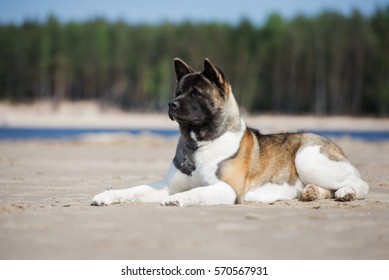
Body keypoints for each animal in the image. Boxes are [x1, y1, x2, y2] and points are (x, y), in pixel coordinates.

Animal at [92, 58, 368, 207]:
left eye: (195, 93)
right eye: (178, 92)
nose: (171, 104)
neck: (200, 143)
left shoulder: (226, 188)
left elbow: (196, 191)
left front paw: (178, 200)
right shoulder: (166, 185)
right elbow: (135, 189)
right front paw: (106, 195)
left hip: (308, 157)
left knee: (359, 182)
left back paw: (346, 193)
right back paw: (311, 193)